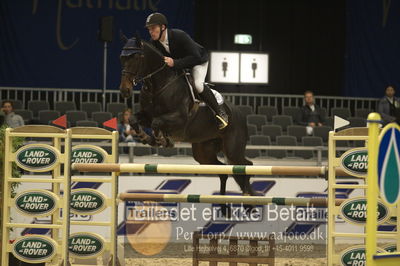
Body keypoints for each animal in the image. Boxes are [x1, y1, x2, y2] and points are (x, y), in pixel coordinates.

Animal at [119, 34, 256, 215]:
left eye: (136, 57)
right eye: (122, 58)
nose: (124, 91)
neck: (159, 85)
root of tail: (240, 114)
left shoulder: (179, 119)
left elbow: (157, 123)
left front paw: (162, 140)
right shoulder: (147, 115)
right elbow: (134, 120)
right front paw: (146, 138)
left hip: (233, 149)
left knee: (246, 166)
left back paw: (248, 200)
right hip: (203, 152)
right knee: (223, 172)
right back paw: (225, 207)